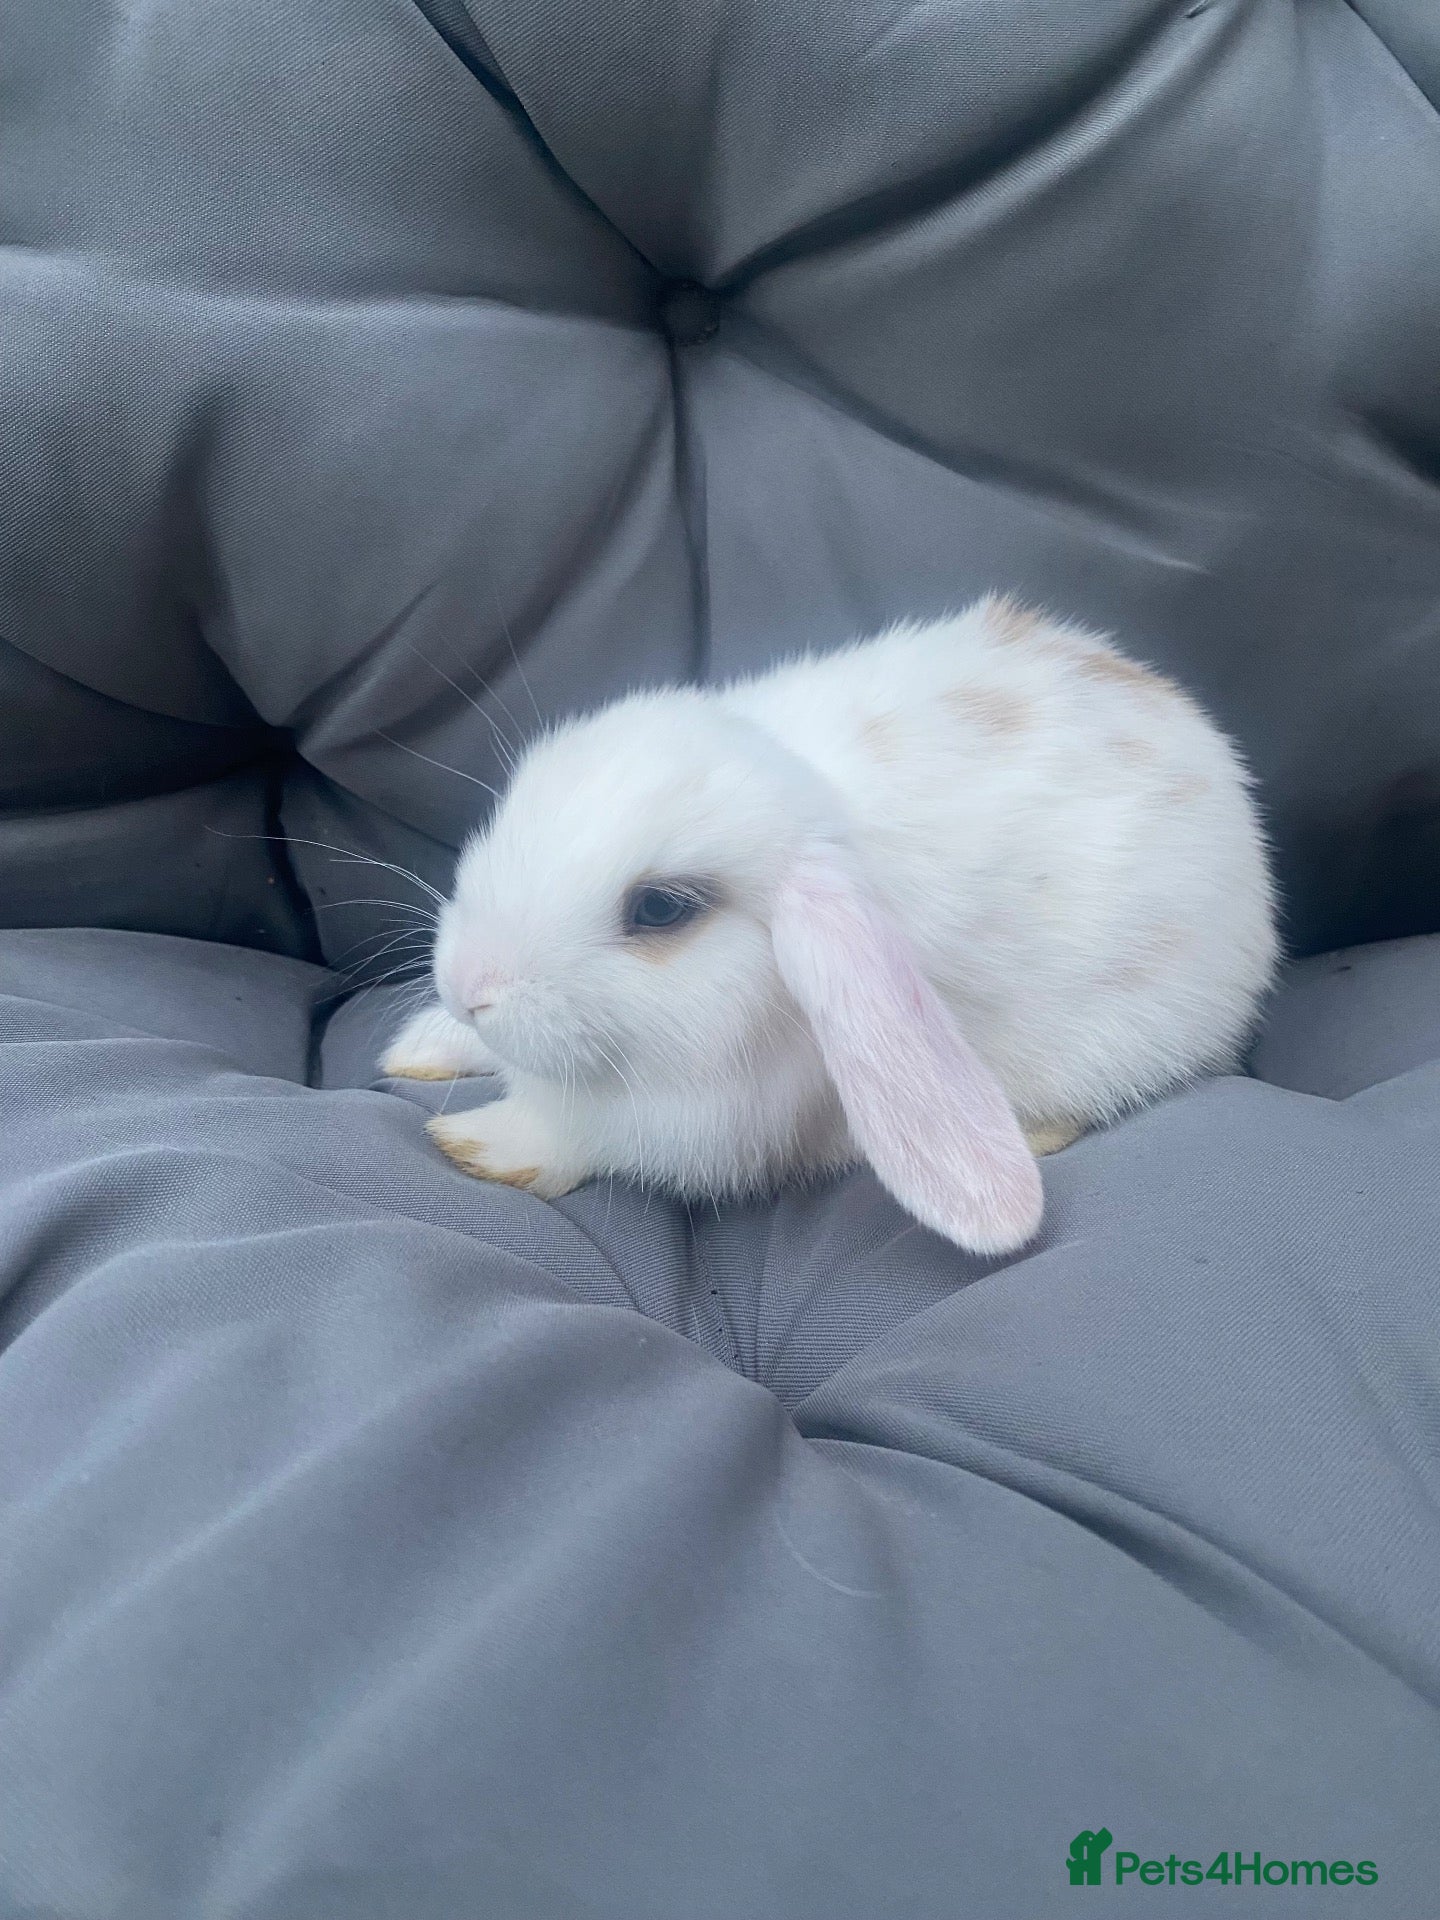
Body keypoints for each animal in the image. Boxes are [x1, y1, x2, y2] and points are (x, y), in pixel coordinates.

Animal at [380, 595, 1278, 1255]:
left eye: (661, 908)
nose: (468, 985)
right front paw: (421, 1048)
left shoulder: (696, 1119)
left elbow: (579, 1135)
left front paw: (480, 1143)